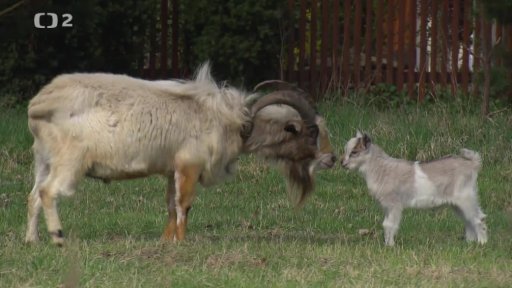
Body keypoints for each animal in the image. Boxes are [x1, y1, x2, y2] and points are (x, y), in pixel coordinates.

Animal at [342, 132, 486, 246]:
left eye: (354, 152)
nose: (342, 164)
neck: (381, 168)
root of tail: (472, 164)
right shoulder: (387, 206)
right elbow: (385, 224)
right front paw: (387, 244)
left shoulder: (394, 204)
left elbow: (390, 224)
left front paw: (390, 246)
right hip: (457, 204)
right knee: (468, 221)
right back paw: (469, 243)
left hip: (466, 198)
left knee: (478, 219)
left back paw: (482, 243)